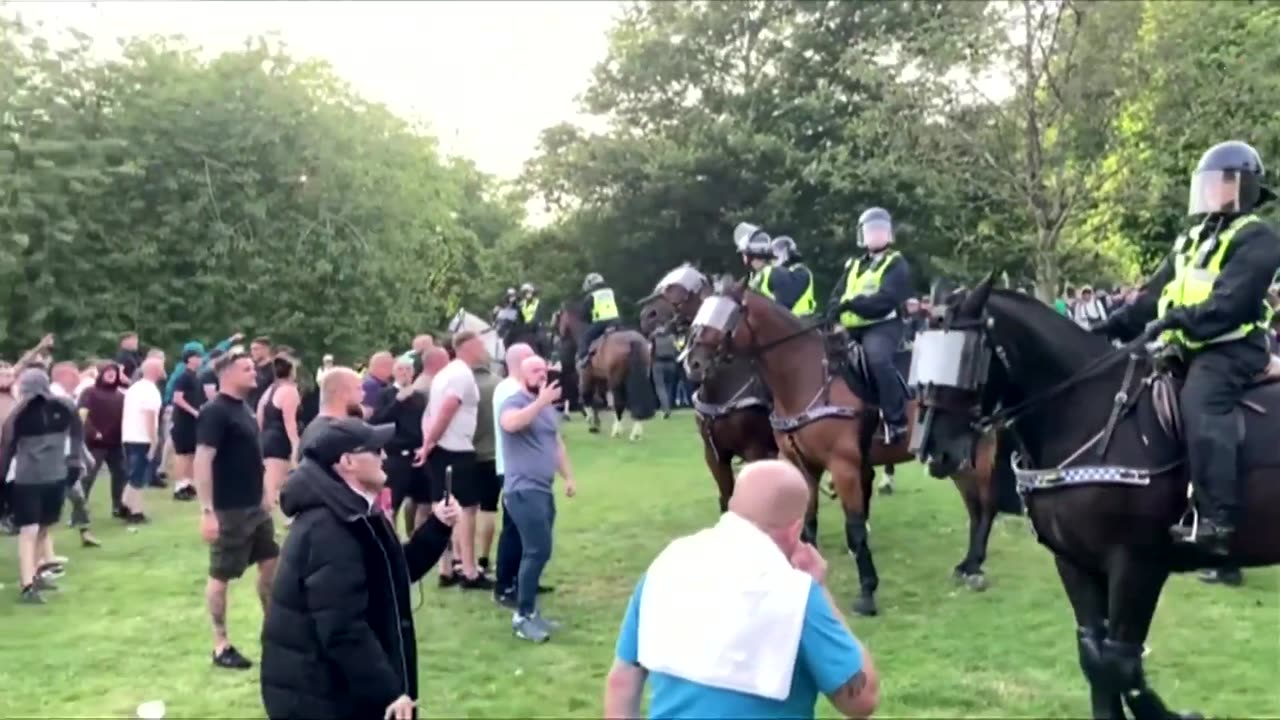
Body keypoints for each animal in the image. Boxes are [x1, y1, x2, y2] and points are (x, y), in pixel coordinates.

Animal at [555, 301, 655, 438]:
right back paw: (636, 432)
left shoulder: (586, 377)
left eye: (559, 319)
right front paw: (596, 423)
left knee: (619, 403)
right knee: (637, 399)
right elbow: (597, 401)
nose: (560, 337)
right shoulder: (600, 379)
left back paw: (617, 431)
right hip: (638, 376)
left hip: (615, 380)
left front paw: (591, 422)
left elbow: (586, 398)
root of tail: (632, 341)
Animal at [686, 275, 1003, 609]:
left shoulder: (843, 466)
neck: (805, 377)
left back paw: (975, 567)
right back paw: (967, 565)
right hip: (950, 458)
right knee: (974, 506)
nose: (693, 363)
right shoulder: (801, 464)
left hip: (975, 453)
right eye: (702, 310)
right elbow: (807, 521)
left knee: (985, 506)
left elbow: (855, 527)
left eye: (728, 315)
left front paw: (867, 590)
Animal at [911, 274, 1280, 717]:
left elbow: (1119, 663)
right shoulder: (1074, 562)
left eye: (968, 356)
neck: (1091, 413)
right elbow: (1094, 656)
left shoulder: (1137, 566)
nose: (934, 450)